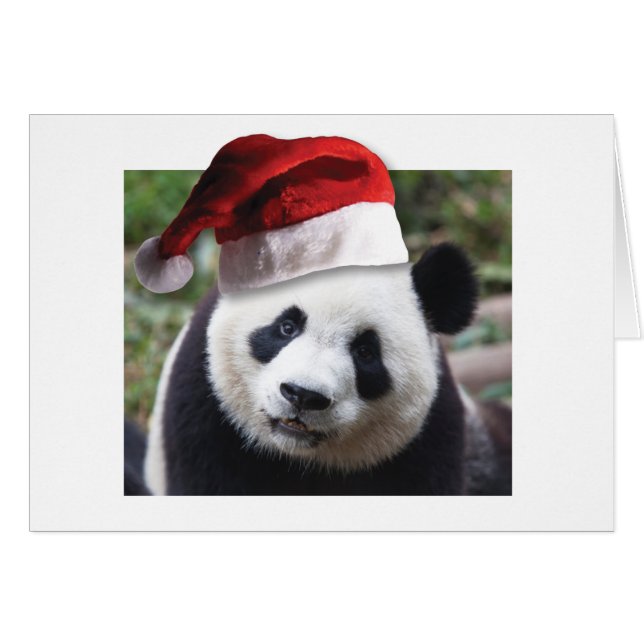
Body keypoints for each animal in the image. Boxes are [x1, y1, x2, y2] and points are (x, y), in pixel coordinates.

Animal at [141, 242, 512, 496]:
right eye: (287, 327)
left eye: (365, 352)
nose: (302, 395)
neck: (301, 459)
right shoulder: (205, 406)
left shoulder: (428, 436)